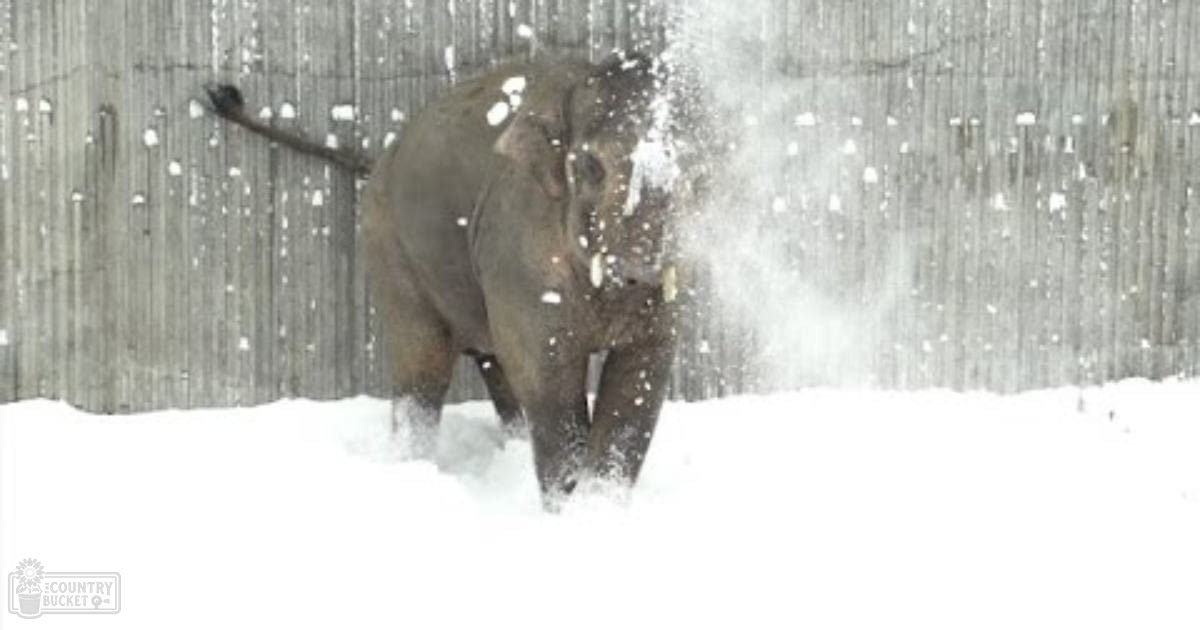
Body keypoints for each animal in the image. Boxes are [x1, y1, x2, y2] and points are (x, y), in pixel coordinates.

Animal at [206, 50, 694, 509]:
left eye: (691, 166)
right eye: (590, 166)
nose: (638, 276)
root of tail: (382, 157)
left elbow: (641, 376)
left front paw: (598, 508)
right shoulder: (522, 249)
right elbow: (549, 377)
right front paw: (570, 511)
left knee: (495, 365)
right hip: (390, 247)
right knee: (424, 364)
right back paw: (412, 465)